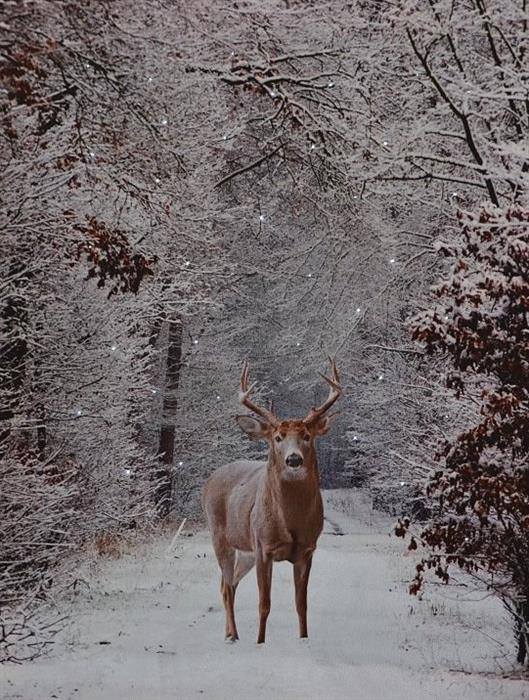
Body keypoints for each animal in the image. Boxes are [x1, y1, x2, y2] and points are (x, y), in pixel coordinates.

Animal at [200, 360, 340, 644]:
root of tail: (211, 478)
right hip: (220, 536)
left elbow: (301, 604)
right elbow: (264, 603)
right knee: (227, 587)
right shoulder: (264, 546)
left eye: (307, 435)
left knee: (228, 583)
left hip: (246, 551)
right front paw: (260, 642)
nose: (294, 459)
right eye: (278, 437)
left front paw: (303, 639)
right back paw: (234, 636)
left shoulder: (307, 550)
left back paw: (229, 632)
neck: (291, 522)